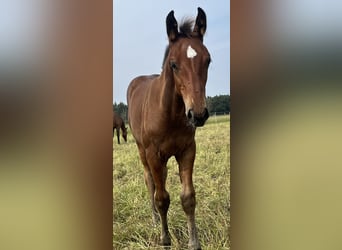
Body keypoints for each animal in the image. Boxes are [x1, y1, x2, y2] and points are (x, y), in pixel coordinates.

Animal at [127, 7, 210, 250]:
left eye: (208, 61)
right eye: (174, 64)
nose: (198, 114)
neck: (171, 115)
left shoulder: (187, 150)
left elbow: (188, 197)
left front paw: (194, 242)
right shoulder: (153, 154)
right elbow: (162, 198)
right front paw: (165, 239)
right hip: (142, 151)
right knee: (150, 182)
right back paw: (155, 220)